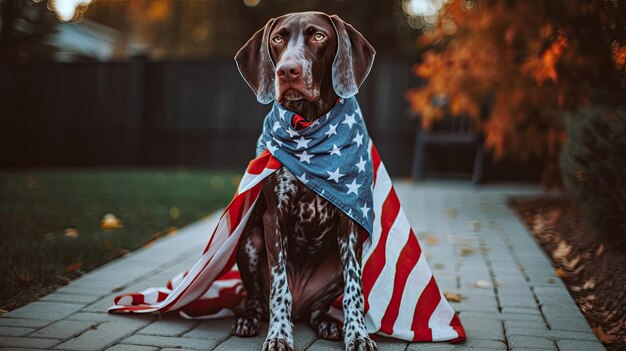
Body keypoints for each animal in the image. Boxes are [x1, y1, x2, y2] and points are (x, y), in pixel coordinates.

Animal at [232, 11, 372, 351]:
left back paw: (327, 323)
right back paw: (249, 319)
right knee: (257, 297)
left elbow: (354, 290)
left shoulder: (351, 223)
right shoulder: (274, 217)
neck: (310, 125)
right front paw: (279, 334)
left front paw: (357, 335)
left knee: (319, 308)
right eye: (277, 38)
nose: (286, 71)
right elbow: (279, 287)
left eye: (319, 36)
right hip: (249, 241)